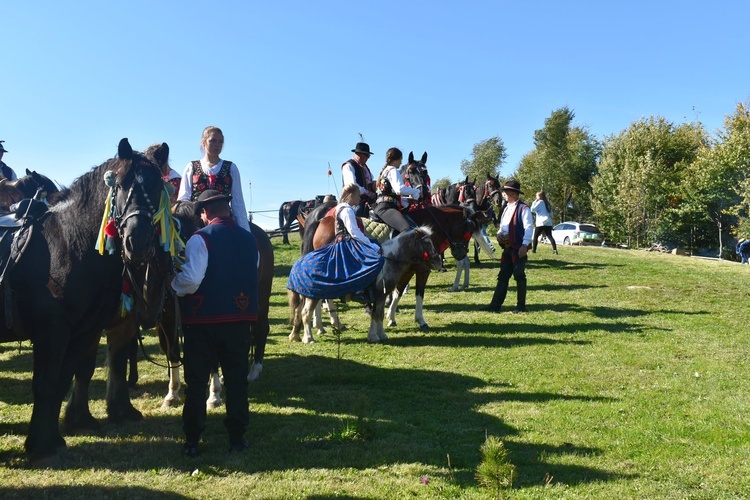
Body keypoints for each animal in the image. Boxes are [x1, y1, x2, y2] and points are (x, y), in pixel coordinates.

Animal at [1, 138, 169, 464]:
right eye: (120, 184)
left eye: (157, 186)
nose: (137, 241)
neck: (67, 242)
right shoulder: (51, 333)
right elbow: (45, 384)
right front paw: (39, 445)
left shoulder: (83, 332)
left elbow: (62, 380)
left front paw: (51, 439)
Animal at [314, 205, 490, 330]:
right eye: (469, 232)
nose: (462, 253)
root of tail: (323, 222)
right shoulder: (422, 270)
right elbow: (419, 293)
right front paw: (420, 320)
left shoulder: (407, 271)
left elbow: (398, 292)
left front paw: (391, 317)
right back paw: (331, 322)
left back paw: (322, 324)